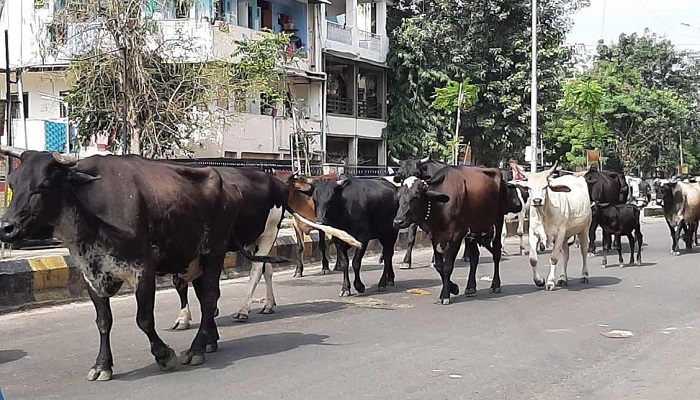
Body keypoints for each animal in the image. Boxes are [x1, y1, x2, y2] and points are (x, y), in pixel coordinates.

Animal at [0, 148, 292, 382]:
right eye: (12, 183)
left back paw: (198, 348)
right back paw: (210, 340)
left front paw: (164, 355)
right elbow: (103, 321)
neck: (91, 209)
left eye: (44, 184)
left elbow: (144, 319)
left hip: (218, 250)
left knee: (214, 296)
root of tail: (228, 184)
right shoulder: (91, 273)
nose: (7, 227)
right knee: (207, 296)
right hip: (197, 257)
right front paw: (102, 365)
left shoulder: (143, 269)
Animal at [392, 166, 506, 304]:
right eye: (398, 197)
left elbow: (447, 267)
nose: (398, 221)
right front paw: (454, 288)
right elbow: (439, 266)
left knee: (496, 253)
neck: (440, 207)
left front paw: (445, 295)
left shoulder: (457, 236)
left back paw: (495, 285)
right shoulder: (435, 237)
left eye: (416, 196)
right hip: (473, 232)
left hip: (498, 222)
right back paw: (471, 287)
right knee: (475, 256)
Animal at [508, 162, 592, 290]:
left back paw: (584, 275)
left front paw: (550, 282)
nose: (537, 200)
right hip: (566, 236)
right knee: (566, 254)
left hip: (584, 229)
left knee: (583, 251)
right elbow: (533, 259)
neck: (545, 214)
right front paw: (539, 281)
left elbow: (553, 258)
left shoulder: (559, 234)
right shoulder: (534, 233)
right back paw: (562, 278)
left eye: (545, 186)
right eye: (529, 187)